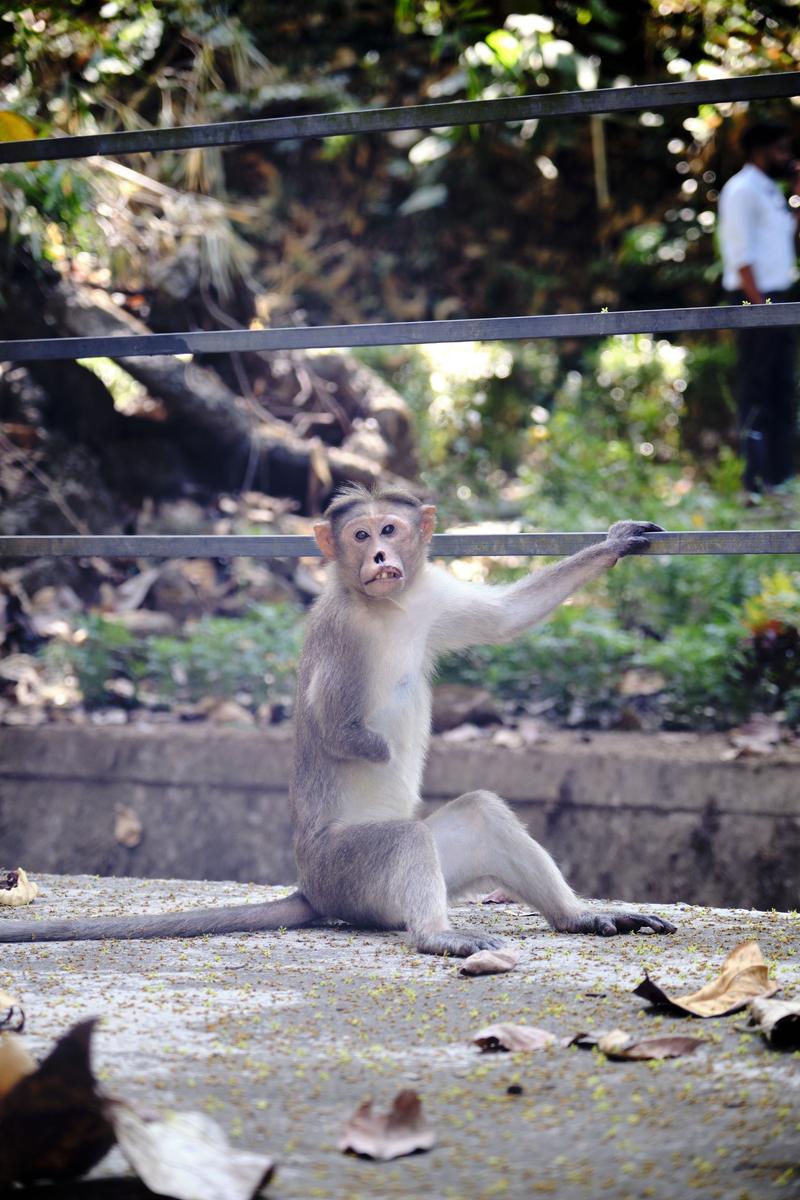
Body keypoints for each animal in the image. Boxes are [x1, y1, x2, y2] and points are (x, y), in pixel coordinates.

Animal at [0, 482, 676, 950]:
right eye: (358, 537)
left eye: (390, 528)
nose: (379, 556)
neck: (386, 609)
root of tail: (310, 885)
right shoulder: (342, 632)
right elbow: (336, 729)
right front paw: (381, 749)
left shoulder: (429, 597)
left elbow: (507, 618)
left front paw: (614, 543)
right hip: (347, 873)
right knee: (404, 840)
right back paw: (436, 934)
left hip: (411, 870)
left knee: (480, 816)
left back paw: (579, 916)